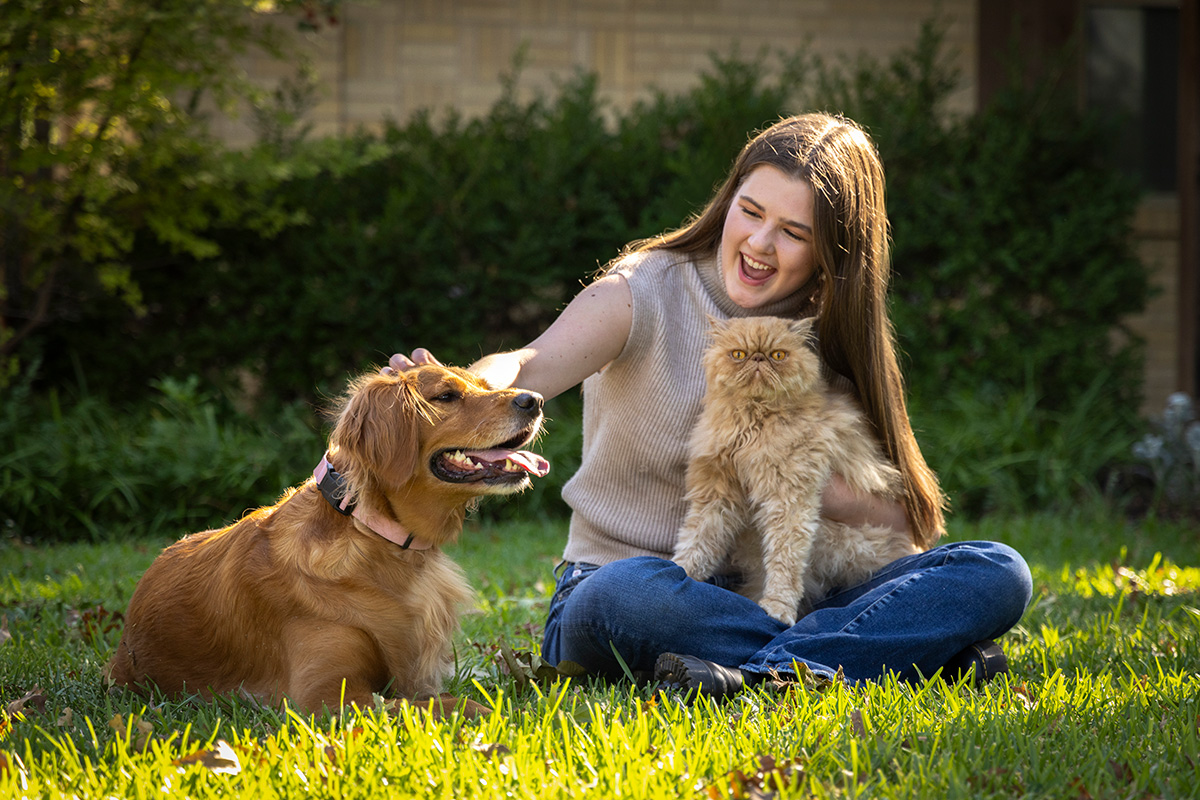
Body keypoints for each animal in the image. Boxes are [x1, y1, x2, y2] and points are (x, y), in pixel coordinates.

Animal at [105, 362, 549, 714]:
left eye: (483, 385)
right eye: (446, 396)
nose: (535, 400)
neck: (372, 534)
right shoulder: (328, 696)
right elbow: (453, 703)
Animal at [676, 316, 916, 628]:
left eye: (778, 355)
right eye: (738, 354)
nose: (757, 358)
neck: (752, 425)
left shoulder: (789, 499)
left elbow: (784, 561)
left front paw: (777, 608)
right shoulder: (717, 493)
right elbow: (697, 542)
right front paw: (676, 570)